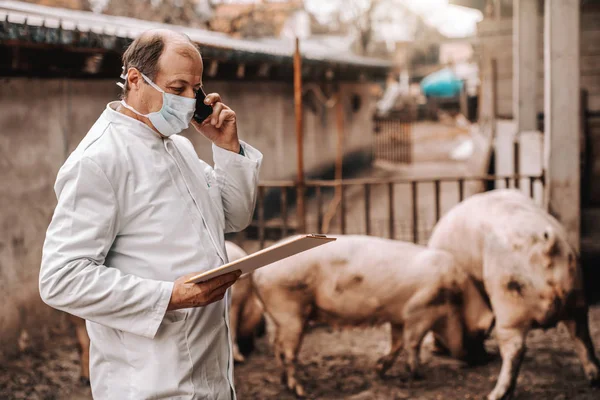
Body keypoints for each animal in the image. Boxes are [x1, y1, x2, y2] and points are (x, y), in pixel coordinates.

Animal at [253, 234, 492, 396]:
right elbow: (412, 343)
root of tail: (257, 273)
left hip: (279, 317)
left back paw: (284, 383)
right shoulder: (419, 311)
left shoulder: (399, 316)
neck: (457, 298)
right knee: (288, 353)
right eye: (481, 334)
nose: (486, 358)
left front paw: (379, 371)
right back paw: (301, 391)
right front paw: (418, 375)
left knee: (277, 346)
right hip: (289, 310)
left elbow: (397, 344)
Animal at [428, 190, 596, 400]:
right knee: (582, 334)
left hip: (510, 303)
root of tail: (548, 246)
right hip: (577, 295)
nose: (435, 348)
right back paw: (594, 379)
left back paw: (495, 394)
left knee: (515, 348)